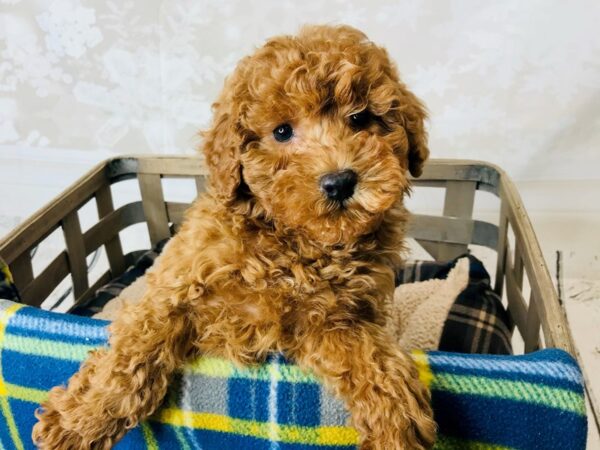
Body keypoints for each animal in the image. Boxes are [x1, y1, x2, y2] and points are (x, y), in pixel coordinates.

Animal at [32, 25, 436, 450]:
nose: (340, 181)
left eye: (360, 118)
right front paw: (80, 419)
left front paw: (395, 417)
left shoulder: (329, 318)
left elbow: (364, 348)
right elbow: (140, 342)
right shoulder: (177, 286)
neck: (293, 244)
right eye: (282, 132)